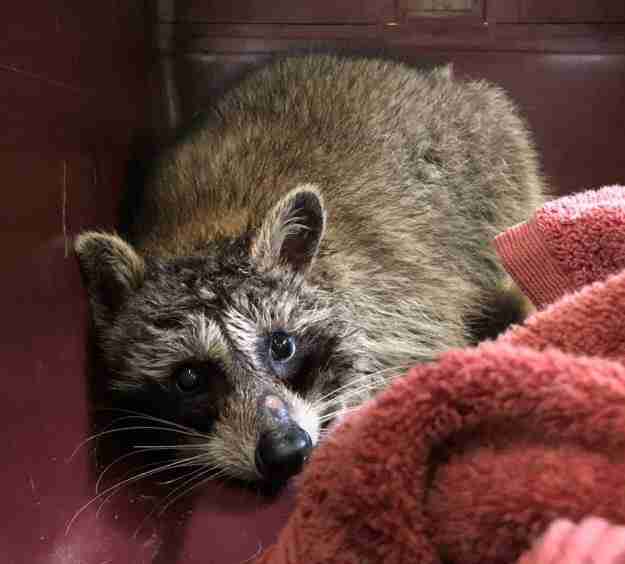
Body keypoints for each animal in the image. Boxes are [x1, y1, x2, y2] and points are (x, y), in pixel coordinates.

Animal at [72, 54, 540, 490]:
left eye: (282, 346)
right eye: (189, 378)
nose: (285, 451)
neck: (205, 235)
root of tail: (426, 75)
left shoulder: (396, 301)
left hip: (496, 165)